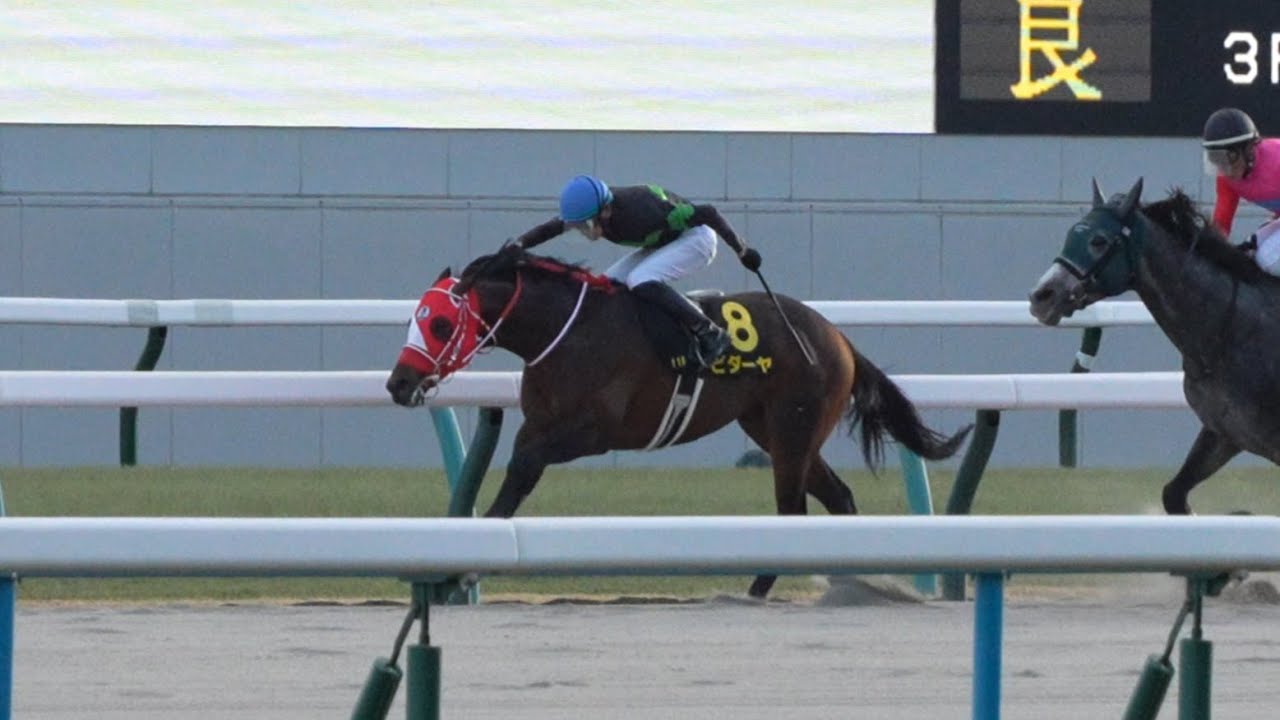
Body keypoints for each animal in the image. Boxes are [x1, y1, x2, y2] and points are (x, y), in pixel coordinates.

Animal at [387, 244, 972, 599]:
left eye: (441, 324)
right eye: (417, 318)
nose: (398, 383)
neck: (566, 330)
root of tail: (836, 334)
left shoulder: (595, 431)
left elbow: (523, 467)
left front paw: (465, 567)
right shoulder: (542, 422)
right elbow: (518, 472)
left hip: (794, 427)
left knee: (793, 508)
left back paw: (755, 591)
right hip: (773, 428)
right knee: (838, 497)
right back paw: (852, 581)